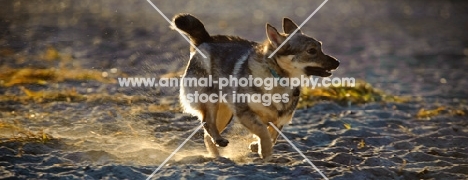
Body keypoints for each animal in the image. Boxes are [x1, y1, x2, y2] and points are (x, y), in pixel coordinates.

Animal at [174, 13, 338, 160]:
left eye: (321, 47)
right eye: (311, 51)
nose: (337, 62)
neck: (279, 78)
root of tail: (205, 40)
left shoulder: (280, 119)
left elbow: (272, 134)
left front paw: (256, 146)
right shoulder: (245, 112)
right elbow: (263, 130)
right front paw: (264, 151)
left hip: (226, 113)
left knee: (207, 135)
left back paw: (217, 155)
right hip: (211, 99)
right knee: (207, 122)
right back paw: (219, 141)